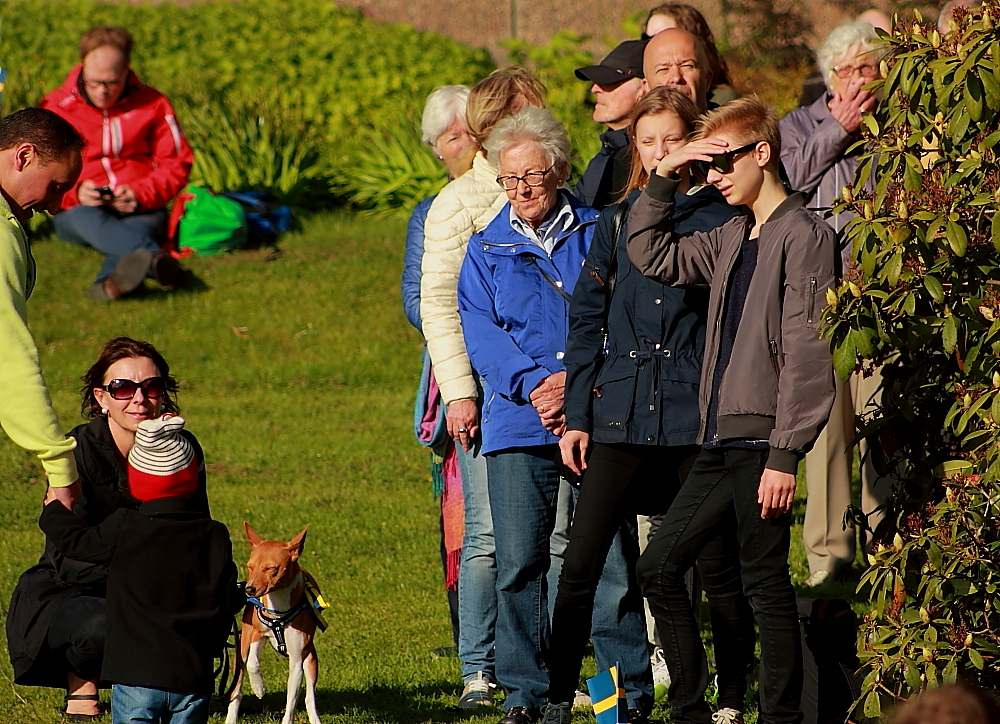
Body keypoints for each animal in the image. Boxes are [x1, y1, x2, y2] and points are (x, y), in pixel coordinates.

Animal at [226, 524, 320, 724]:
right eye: (250, 567)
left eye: (271, 568)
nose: (249, 589)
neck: (278, 610)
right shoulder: (253, 635)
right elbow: (252, 662)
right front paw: (259, 687)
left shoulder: (297, 659)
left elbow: (292, 700)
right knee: (237, 690)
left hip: (311, 658)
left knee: (309, 696)